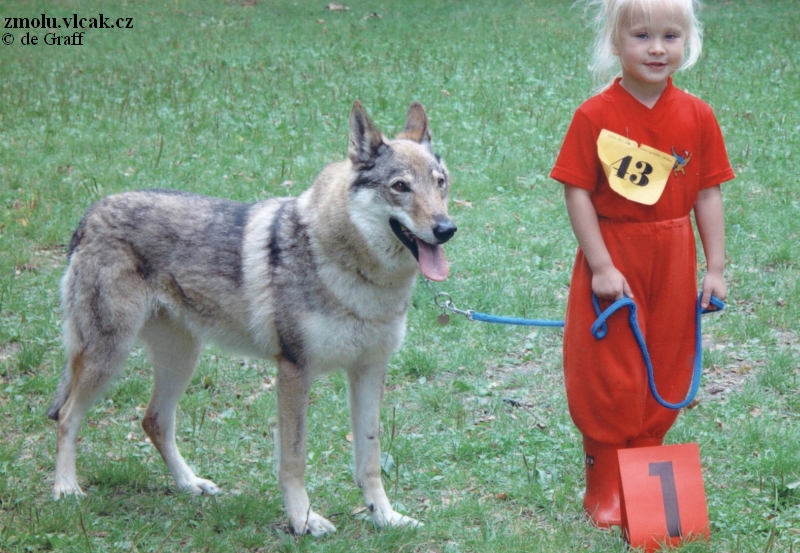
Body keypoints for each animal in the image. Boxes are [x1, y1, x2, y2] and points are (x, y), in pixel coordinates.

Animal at [48, 100, 456, 536]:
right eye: (400, 187)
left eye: (440, 183)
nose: (446, 228)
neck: (361, 277)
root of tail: (91, 212)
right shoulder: (294, 370)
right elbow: (293, 459)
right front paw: (303, 520)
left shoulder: (370, 370)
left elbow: (370, 459)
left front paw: (385, 516)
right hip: (109, 355)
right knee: (67, 416)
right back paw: (65, 487)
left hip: (181, 360)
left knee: (153, 421)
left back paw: (190, 484)